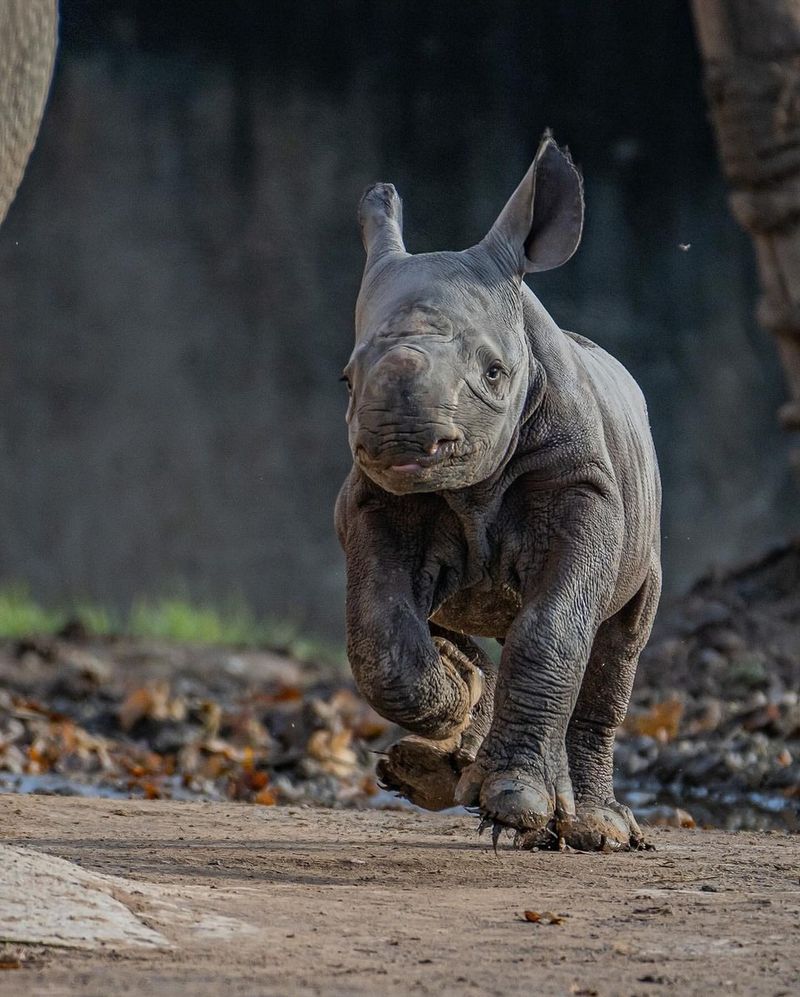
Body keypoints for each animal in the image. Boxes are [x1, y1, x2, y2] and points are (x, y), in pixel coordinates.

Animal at [334, 132, 660, 848]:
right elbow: (382, 636)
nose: (400, 439)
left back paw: (592, 827)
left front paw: (515, 802)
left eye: (494, 372)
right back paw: (446, 756)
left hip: (643, 524)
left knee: (616, 642)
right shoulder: (376, 502)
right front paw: (460, 700)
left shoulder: (582, 486)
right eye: (346, 379)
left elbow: (553, 631)